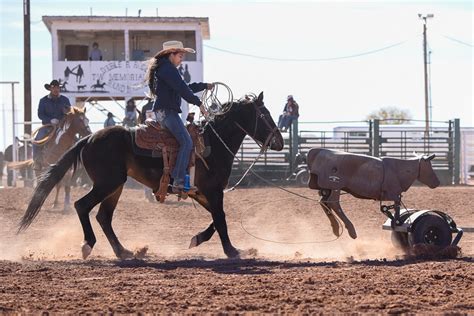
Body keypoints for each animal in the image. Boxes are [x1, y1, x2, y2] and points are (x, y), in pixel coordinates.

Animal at [20, 92, 284, 260]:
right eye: (264, 115)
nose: (280, 142)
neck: (213, 142)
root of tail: (89, 138)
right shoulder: (212, 190)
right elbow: (221, 219)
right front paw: (232, 251)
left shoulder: (203, 192)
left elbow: (217, 218)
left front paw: (197, 239)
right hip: (108, 183)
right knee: (81, 205)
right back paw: (88, 245)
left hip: (115, 187)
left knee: (104, 217)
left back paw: (124, 252)